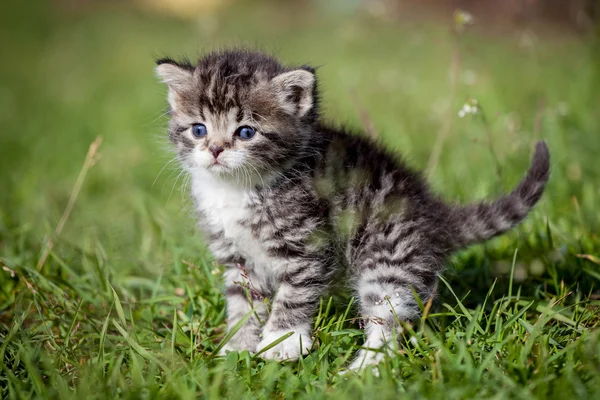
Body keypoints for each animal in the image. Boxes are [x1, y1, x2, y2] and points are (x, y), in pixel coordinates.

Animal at [155, 50, 548, 372]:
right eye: (199, 129)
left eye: (246, 132)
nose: (215, 149)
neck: (237, 189)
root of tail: (433, 213)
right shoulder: (234, 255)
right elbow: (241, 303)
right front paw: (238, 346)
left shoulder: (307, 244)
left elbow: (293, 295)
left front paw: (283, 341)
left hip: (386, 256)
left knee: (387, 320)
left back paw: (362, 372)